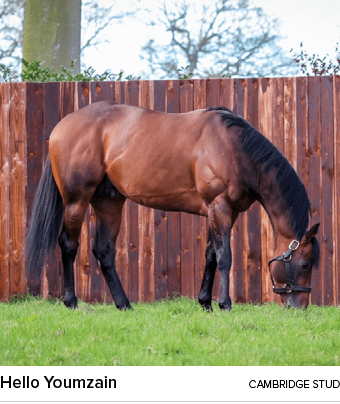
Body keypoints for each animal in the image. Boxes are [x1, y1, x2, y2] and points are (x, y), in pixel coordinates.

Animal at [25, 102, 320, 310]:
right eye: (305, 265)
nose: (300, 307)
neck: (236, 149)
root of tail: (61, 127)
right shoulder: (219, 205)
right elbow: (225, 256)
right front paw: (224, 304)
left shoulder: (223, 211)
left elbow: (211, 255)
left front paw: (205, 302)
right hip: (76, 200)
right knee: (68, 244)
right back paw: (71, 301)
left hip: (109, 201)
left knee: (104, 251)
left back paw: (124, 304)